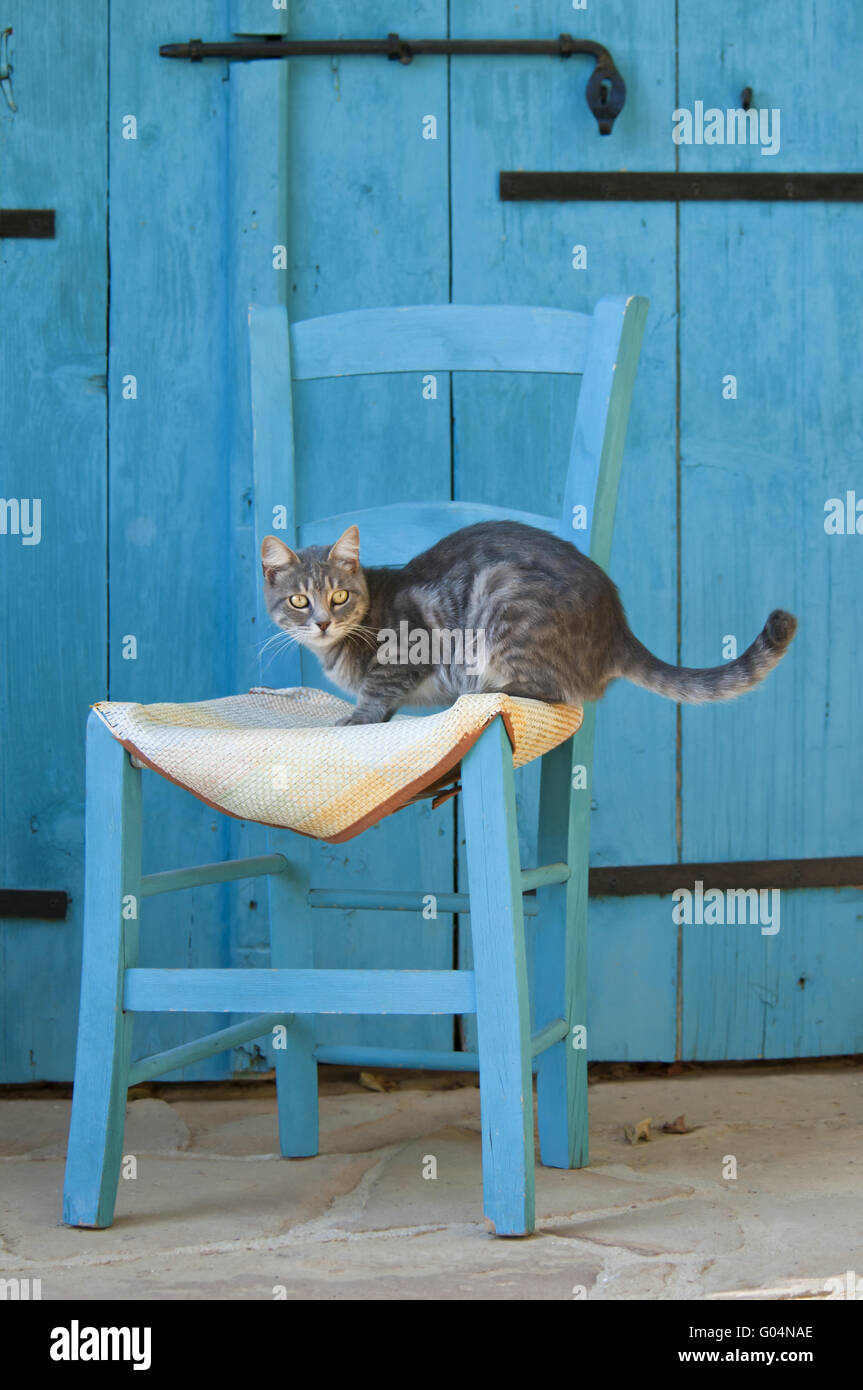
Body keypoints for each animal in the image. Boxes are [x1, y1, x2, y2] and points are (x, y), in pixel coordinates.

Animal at [258, 522, 794, 728]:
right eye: (300, 600)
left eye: (340, 597)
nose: (322, 622)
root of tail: (616, 628)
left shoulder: (411, 644)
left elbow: (377, 690)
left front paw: (356, 717)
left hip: (505, 601)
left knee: (552, 691)